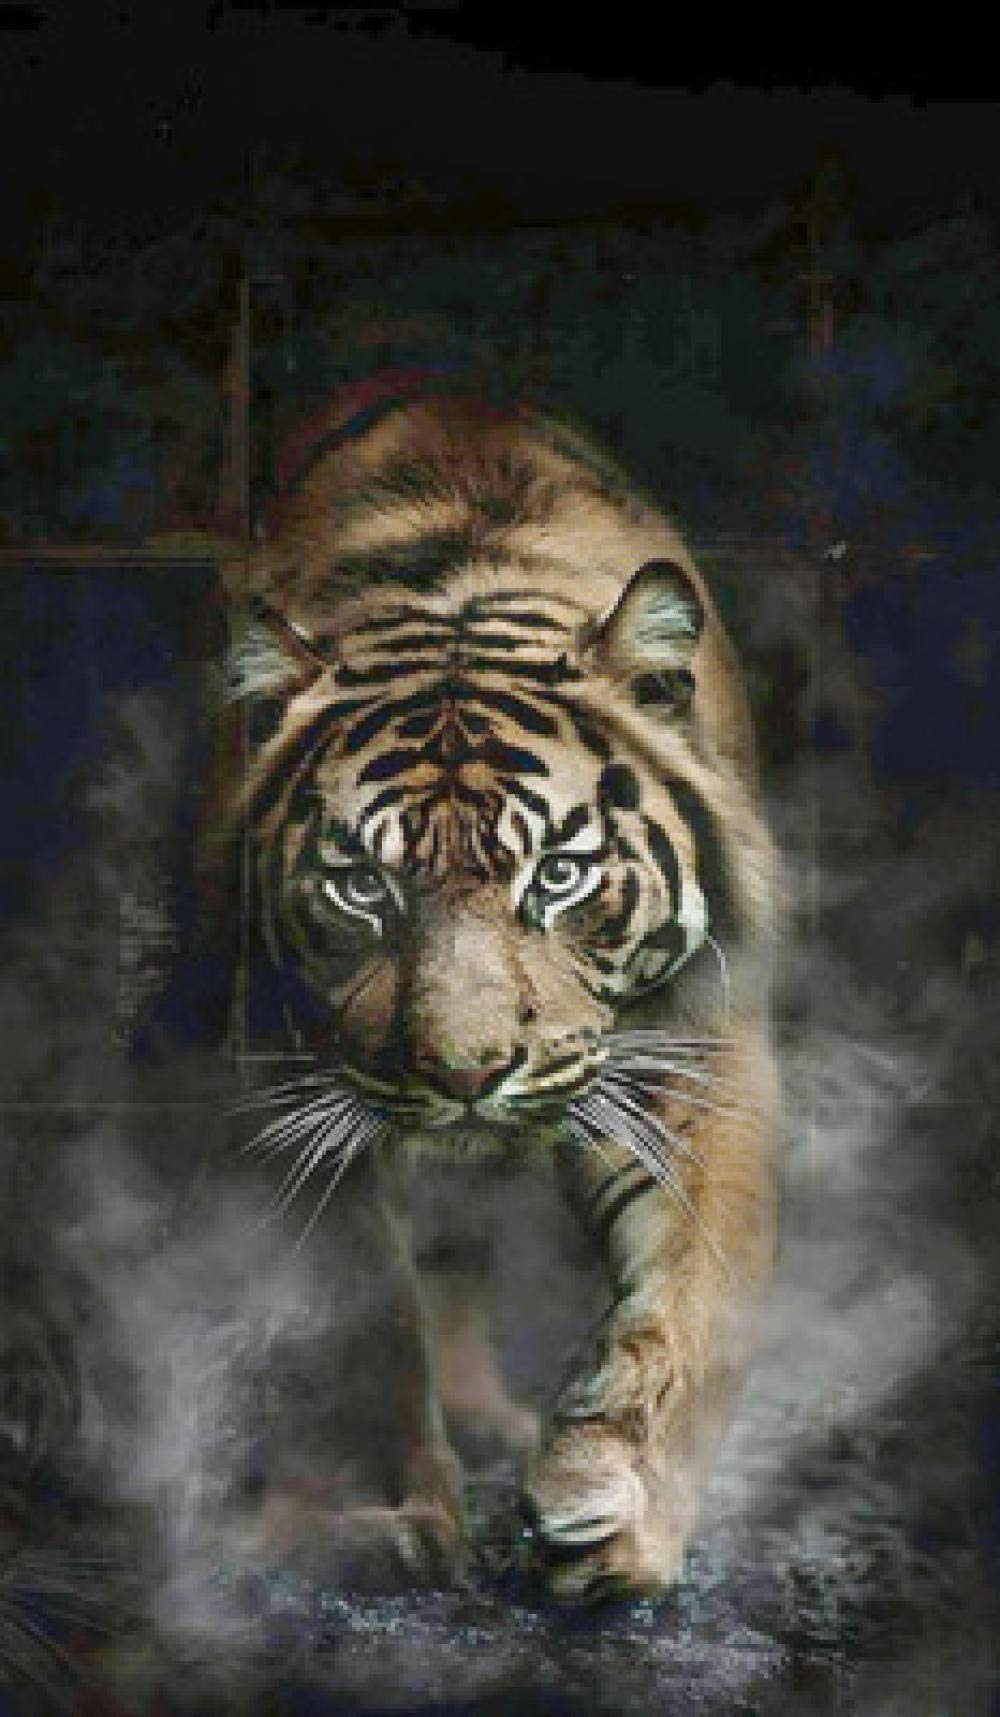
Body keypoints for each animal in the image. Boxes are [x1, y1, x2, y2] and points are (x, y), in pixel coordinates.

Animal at [209, 363, 781, 1603]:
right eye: (363, 885)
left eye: (557, 873)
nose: (467, 1074)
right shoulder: (286, 1083)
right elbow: (364, 1314)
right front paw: (388, 1514)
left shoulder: (698, 1047)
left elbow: (694, 1299)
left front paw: (615, 1509)